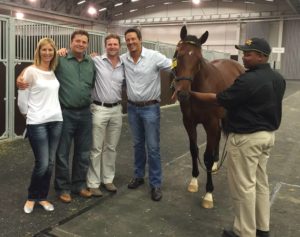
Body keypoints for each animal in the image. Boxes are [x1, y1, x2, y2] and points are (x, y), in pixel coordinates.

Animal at [172, 25, 245, 207]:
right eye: (178, 54)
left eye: (199, 59)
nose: (183, 93)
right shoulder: (189, 123)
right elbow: (194, 150)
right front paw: (193, 181)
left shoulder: (210, 123)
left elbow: (206, 157)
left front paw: (208, 193)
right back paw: (216, 164)